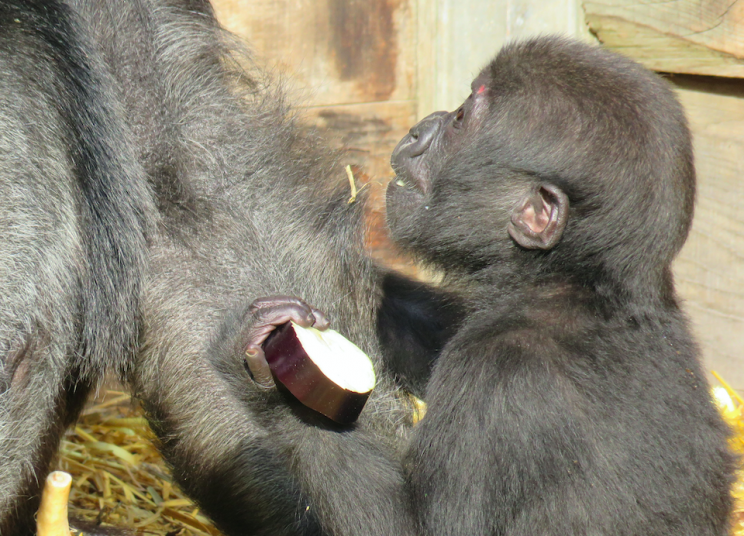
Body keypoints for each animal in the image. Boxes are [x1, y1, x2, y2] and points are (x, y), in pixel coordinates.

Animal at [248, 35, 732, 532]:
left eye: (462, 119)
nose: (421, 129)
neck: (567, 279)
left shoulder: (496, 377)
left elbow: (424, 526)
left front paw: (269, 383)